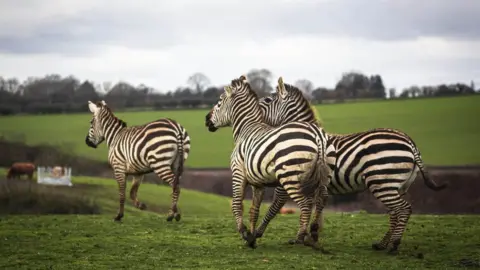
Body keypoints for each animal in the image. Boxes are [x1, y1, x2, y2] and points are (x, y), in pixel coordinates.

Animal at [202, 74, 330, 251]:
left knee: (305, 204)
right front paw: (251, 238)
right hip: (318, 178)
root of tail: (316, 135)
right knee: (320, 200)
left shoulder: (238, 172)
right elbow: (254, 210)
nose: (206, 119)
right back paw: (313, 236)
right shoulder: (258, 183)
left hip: (289, 178)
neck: (246, 128)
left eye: (220, 101)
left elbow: (237, 204)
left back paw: (300, 238)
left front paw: (244, 232)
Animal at [256, 77, 448, 254]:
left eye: (267, 100)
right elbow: (312, 208)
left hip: (382, 182)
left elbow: (274, 208)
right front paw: (311, 236)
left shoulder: (286, 182)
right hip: (396, 185)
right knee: (395, 212)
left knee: (403, 209)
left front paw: (258, 233)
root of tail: (410, 142)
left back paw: (393, 245)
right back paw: (382, 244)